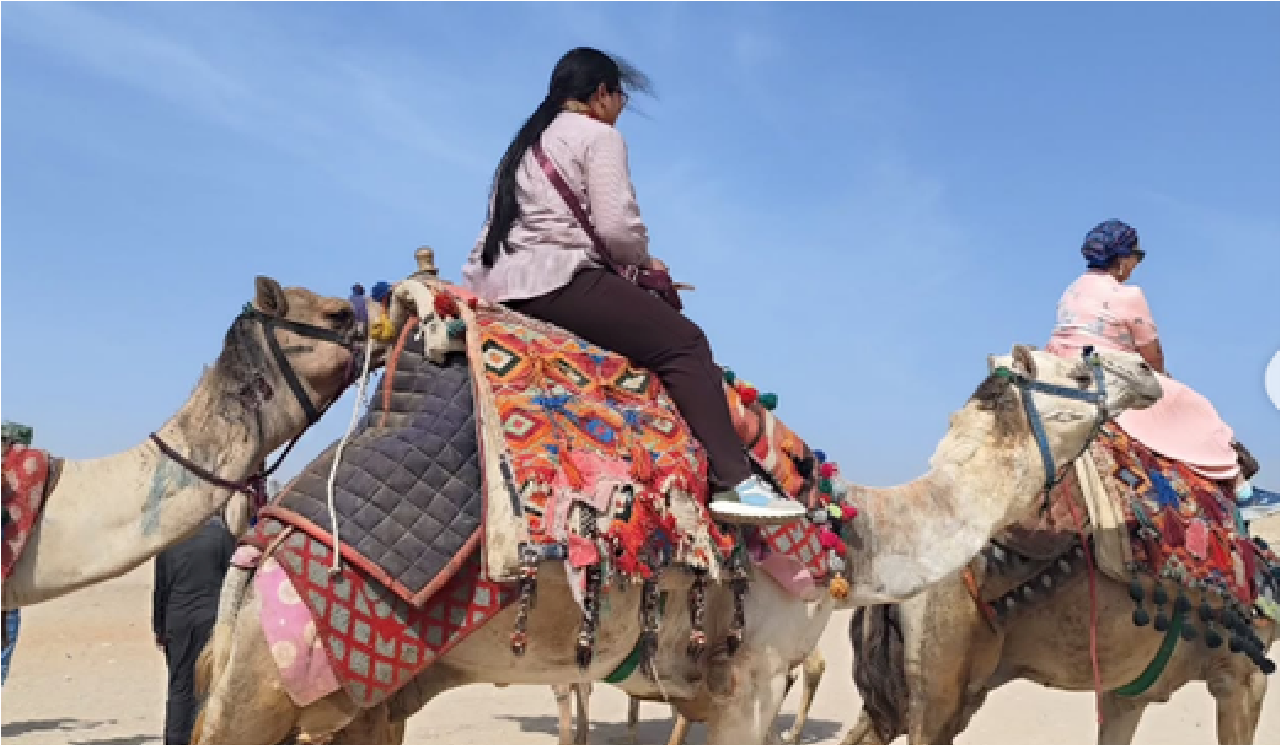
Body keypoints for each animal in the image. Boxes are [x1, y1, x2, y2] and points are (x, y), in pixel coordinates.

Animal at [191, 340, 1162, 745]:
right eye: (1082, 364)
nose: (1149, 369)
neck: (851, 528)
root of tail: (261, 540)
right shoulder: (751, 679)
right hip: (270, 674)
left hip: (365, 693)